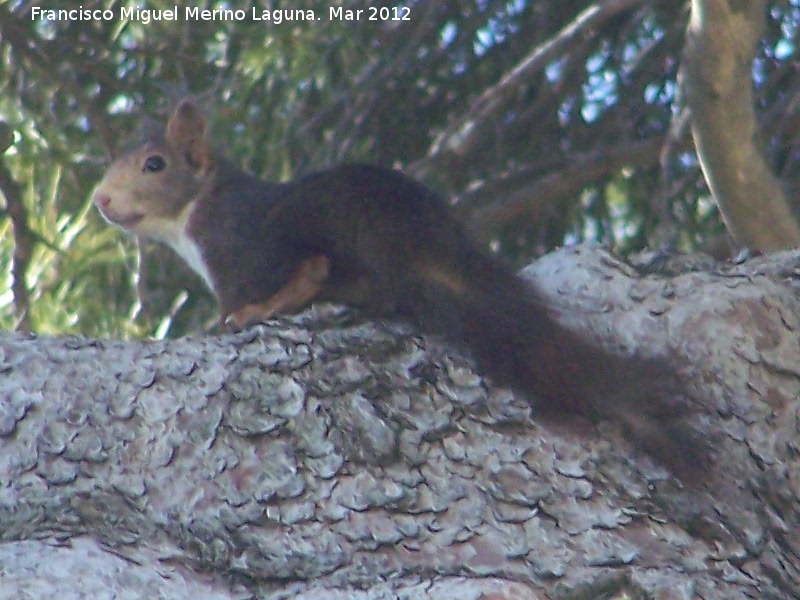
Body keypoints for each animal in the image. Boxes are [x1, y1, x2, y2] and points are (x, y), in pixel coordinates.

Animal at [95, 98, 708, 482]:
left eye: (154, 165)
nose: (100, 200)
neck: (195, 211)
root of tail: (420, 247)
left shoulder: (236, 252)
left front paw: (237, 315)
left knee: (328, 273)